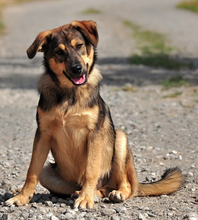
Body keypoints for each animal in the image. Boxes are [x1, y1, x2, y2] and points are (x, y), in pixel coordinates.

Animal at [5, 19, 184, 209]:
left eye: (79, 45)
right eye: (59, 52)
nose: (77, 69)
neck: (70, 93)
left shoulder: (94, 133)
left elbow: (91, 170)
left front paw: (86, 199)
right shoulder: (43, 133)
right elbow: (32, 170)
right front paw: (21, 197)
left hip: (120, 140)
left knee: (127, 185)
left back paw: (113, 193)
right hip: (49, 173)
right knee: (95, 187)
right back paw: (86, 193)